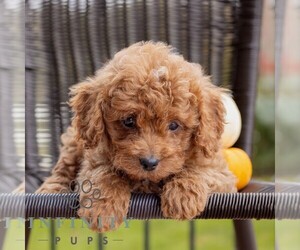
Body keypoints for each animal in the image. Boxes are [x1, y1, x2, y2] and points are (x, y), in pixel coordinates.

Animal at [36, 41, 236, 232]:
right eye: (129, 121)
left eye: (174, 125)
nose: (149, 162)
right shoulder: (94, 158)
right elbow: (104, 173)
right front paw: (103, 208)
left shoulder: (221, 174)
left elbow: (200, 170)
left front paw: (183, 197)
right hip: (75, 142)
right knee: (62, 169)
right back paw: (49, 190)